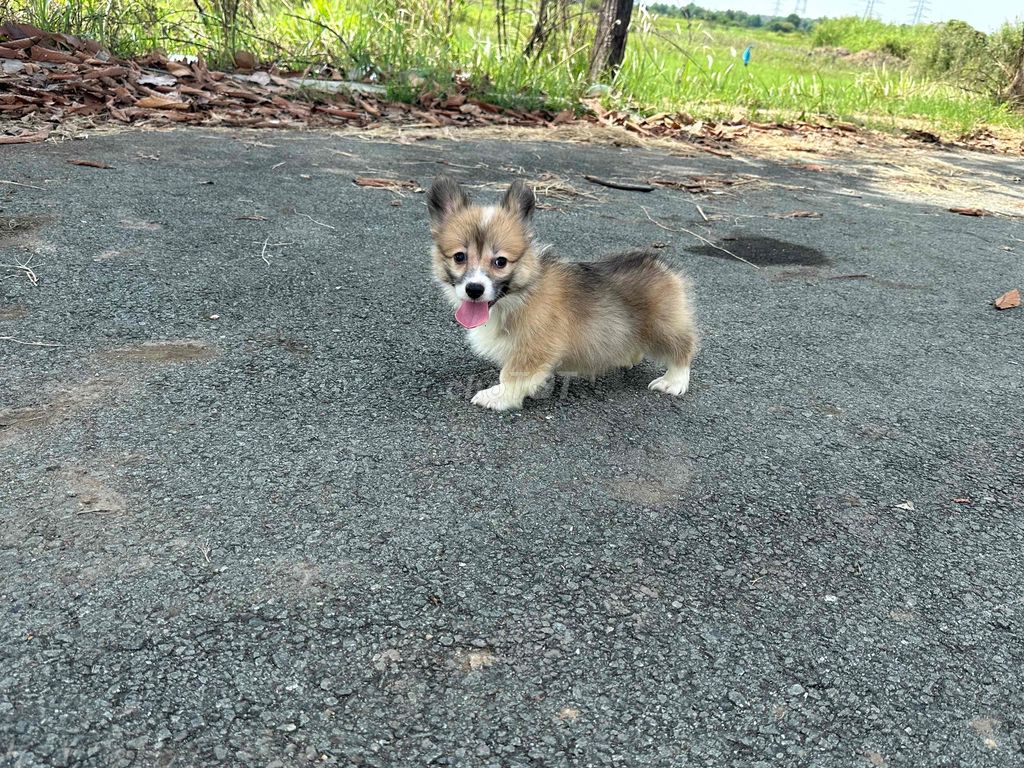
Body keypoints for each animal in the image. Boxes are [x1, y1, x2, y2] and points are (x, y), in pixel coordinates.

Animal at [423, 175, 696, 411]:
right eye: (459, 257)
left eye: (500, 262)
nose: (474, 289)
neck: (519, 297)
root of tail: (663, 267)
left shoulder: (535, 347)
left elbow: (510, 375)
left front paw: (498, 397)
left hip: (664, 327)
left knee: (683, 349)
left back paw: (673, 381)